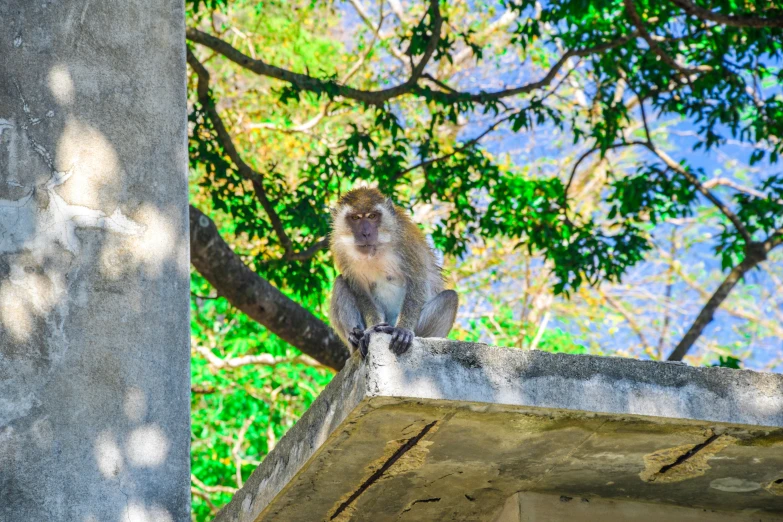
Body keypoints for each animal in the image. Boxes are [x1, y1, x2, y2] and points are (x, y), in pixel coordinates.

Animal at [326, 188, 460, 358]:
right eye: (355, 218)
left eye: (372, 216)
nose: (365, 233)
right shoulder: (341, 250)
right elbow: (360, 291)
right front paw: (370, 330)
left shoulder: (407, 242)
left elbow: (417, 281)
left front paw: (403, 330)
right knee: (340, 282)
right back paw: (355, 338)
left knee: (450, 297)